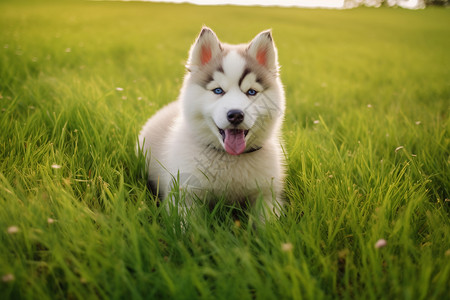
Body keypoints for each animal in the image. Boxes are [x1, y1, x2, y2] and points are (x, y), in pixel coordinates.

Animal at [138, 27, 284, 218]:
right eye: (218, 90)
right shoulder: (185, 196)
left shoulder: (267, 195)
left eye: (251, 92)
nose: (235, 115)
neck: (230, 159)